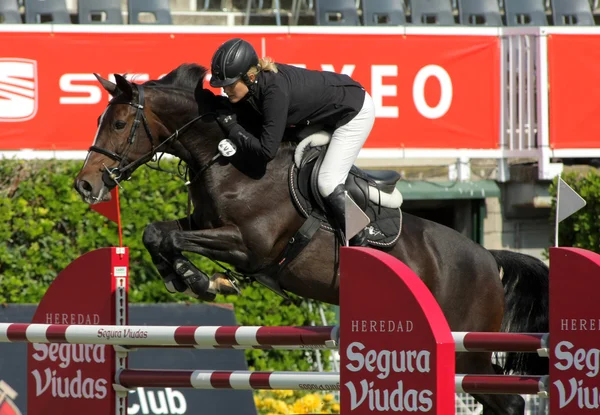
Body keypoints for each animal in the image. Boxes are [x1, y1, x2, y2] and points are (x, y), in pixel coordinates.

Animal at [74, 63, 548, 414]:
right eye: (98, 120)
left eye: (119, 123)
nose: (85, 186)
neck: (230, 160)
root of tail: (489, 258)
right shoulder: (201, 222)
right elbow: (158, 232)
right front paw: (187, 278)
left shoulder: (249, 245)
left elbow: (176, 240)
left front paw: (201, 280)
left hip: (468, 349)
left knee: (508, 401)